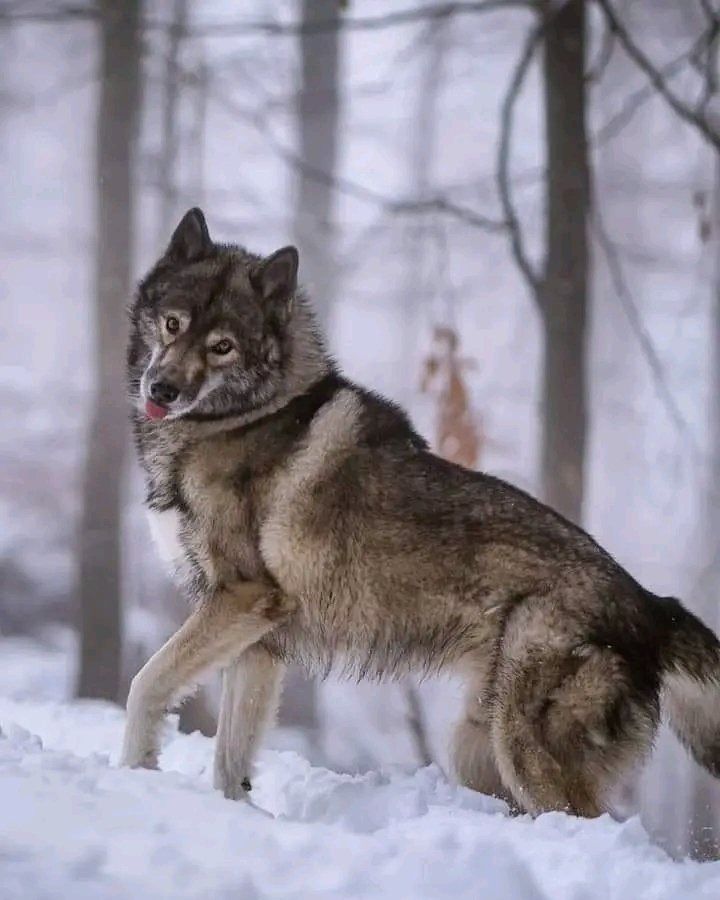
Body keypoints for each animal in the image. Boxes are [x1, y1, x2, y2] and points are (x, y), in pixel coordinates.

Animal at [121, 207, 720, 816]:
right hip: (478, 750)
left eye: (222, 347)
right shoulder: (260, 638)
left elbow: (144, 684)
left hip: (520, 750)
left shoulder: (242, 598)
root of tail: (652, 605)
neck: (245, 416)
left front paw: (134, 771)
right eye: (173, 324)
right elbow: (231, 761)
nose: (162, 389)